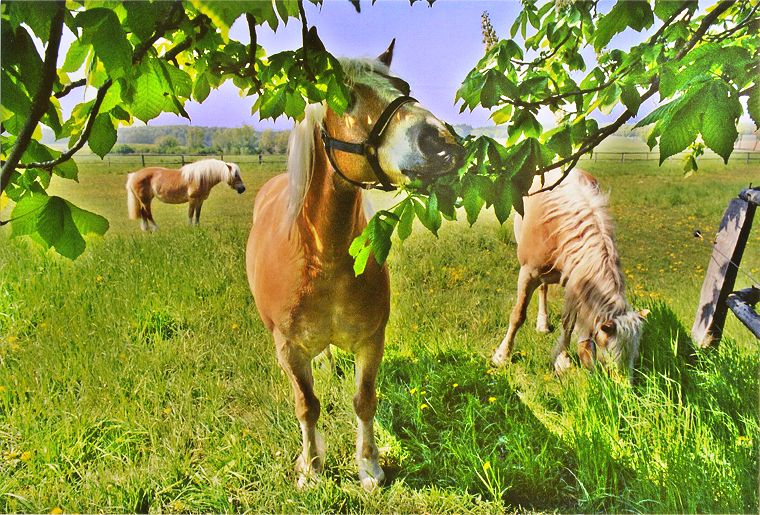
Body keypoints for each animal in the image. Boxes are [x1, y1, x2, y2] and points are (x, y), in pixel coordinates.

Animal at [246, 38, 463, 491]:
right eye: (344, 97)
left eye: (403, 86)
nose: (442, 142)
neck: (322, 258)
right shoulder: (289, 350)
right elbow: (307, 405)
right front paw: (311, 467)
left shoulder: (371, 340)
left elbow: (364, 401)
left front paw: (369, 466)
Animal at [491, 168, 647, 378]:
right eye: (610, 361)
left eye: (634, 356)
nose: (625, 386)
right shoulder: (527, 273)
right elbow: (518, 315)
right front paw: (502, 356)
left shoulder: (575, 280)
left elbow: (569, 323)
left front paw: (563, 361)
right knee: (542, 289)